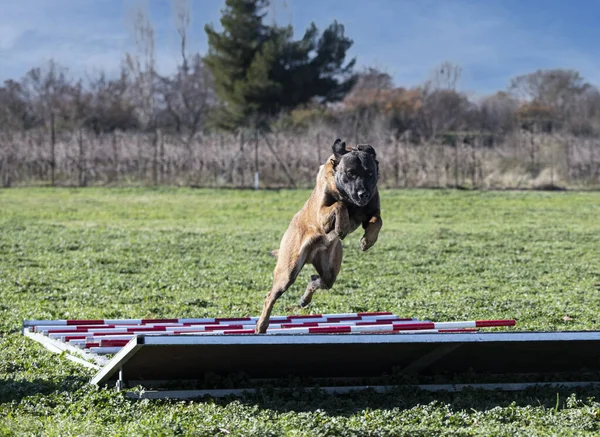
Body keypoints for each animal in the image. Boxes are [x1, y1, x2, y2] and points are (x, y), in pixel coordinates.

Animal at [255, 140, 382, 334]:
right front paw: (342, 225)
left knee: (317, 279)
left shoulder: (372, 209)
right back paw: (261, 325)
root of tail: (311, 255)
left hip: (330, 269)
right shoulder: (323, 213)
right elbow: (339, 205)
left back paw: (304, 299)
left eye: (369, 173)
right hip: (288, 271)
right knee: (271, 295)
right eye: (350, 173)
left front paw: (368, 240)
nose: (363, 194)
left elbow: (377, 220)